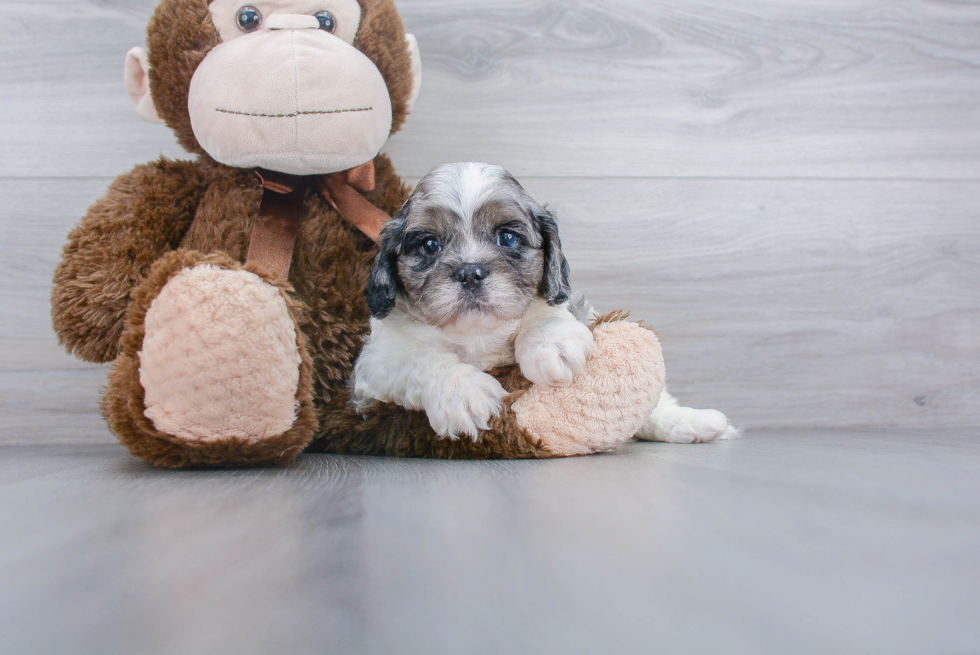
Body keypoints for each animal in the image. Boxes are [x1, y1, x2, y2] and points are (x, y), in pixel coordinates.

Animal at [356, 163, 592, 440]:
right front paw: (462, 392)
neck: (474, 333)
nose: (470, 272)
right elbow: (419, 359)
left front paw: (551, 340)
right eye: (430, 244)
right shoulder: (376, 362)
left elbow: (543, 311)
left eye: (507, 238)